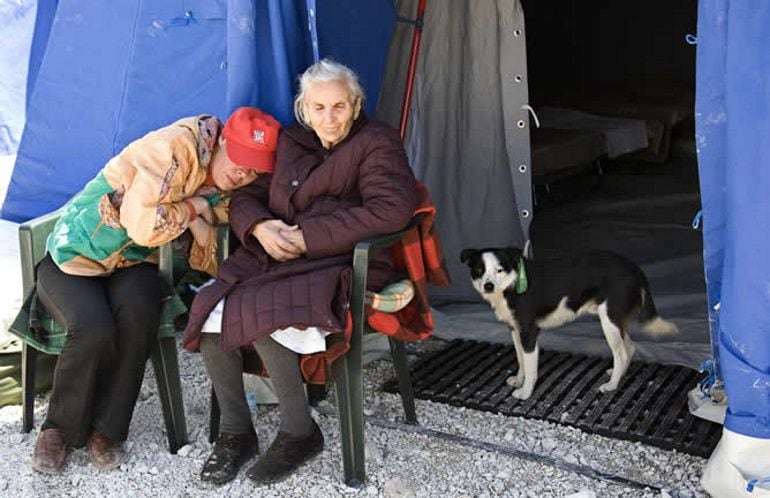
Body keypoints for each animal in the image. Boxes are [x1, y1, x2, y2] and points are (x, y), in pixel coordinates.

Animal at [460, 248, 676, 400]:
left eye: (499, 270)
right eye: (479, 270)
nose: (488, 286)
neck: (510, 286)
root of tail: (634, 268)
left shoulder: (529, 333)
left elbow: (530, 368)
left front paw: (525, 392)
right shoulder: (515, 330)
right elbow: (521, 360)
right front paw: (519, 380)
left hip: (609, 321)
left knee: (621, 352)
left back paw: (612, 385)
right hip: (616, 321)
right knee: (629, 347)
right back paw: (618, 373)